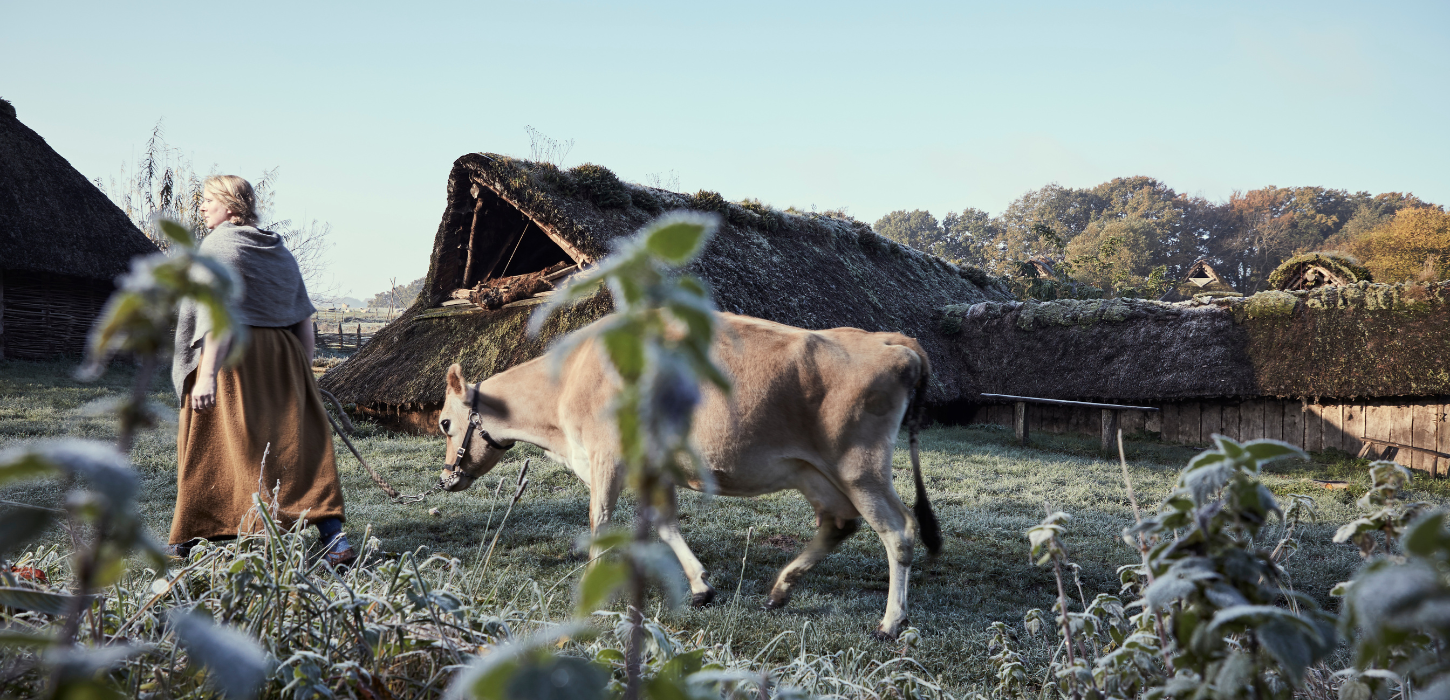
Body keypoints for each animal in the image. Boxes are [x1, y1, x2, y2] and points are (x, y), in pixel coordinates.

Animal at [435, 312, 942, 639]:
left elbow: (601, 522)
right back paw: (780, 590)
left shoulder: (606, 458)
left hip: (860, 468)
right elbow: (665, 525)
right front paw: (700, 586)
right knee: (839, 523)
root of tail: (890, 340)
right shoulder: (655, 466)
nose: (445, 479)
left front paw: (591, 585)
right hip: (815, 472)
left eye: (443, 423)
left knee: (898, 530)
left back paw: (891, 622)